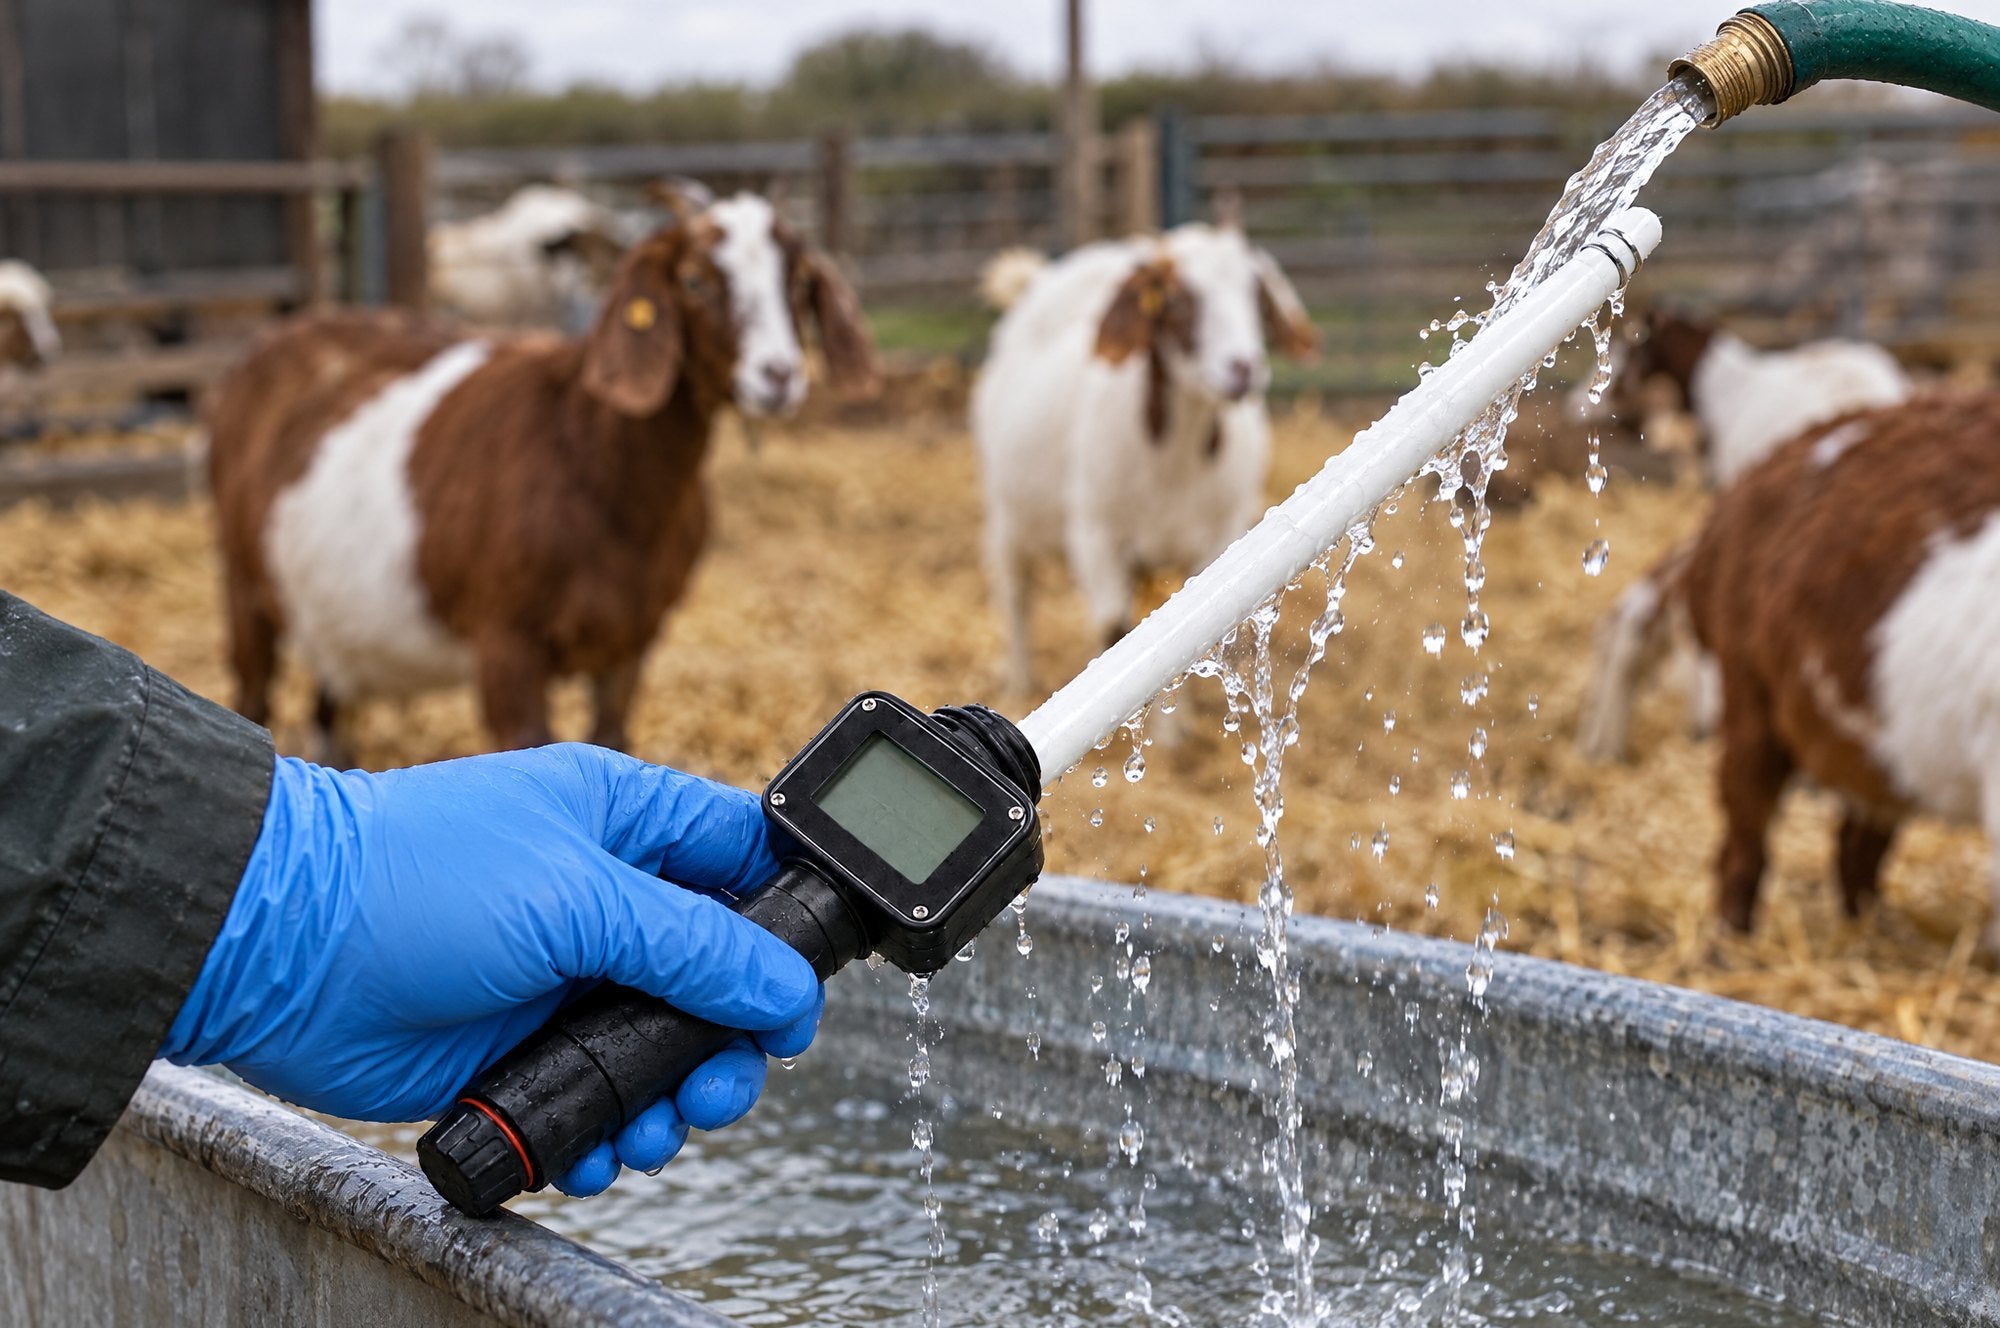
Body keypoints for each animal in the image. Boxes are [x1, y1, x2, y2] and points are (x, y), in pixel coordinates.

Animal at [208, 192, 880, 758]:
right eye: (693, 280)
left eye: (798, 281)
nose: (778, 375)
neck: (589, 458)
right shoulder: (506, 642)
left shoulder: (631, 641)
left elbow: (613, 738)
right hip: (244, 581)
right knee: (252, 693)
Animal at [971, 224, 1317, 694]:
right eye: (1176, 300)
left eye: (1257, 298)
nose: (1243, 369)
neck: (1172, 468)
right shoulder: (1096, 537)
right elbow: (1114, 633)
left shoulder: (1217, 540)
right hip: (1006, 515)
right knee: (1017, 597)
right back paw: (1020, 684)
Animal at [1672, 392, 2000, 946]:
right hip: (1747, 687)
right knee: (1745, 832)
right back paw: (1731, 941)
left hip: (1878, 742)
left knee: (1856, 843)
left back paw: (1870, 931)